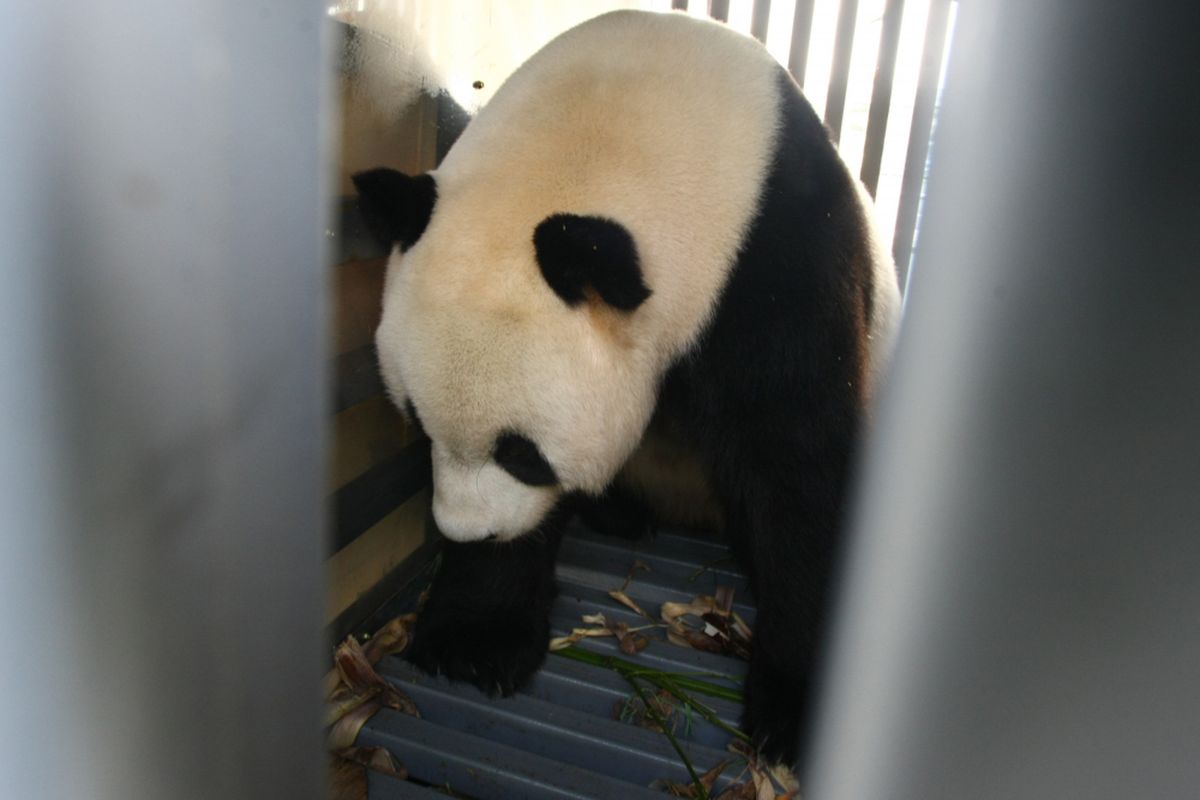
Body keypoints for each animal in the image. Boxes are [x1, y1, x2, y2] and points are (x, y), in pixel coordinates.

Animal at [350, 9, 897, 767]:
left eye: (523, 454)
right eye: (418, 423)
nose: (468, 530)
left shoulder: (776, 250)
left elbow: (798, 463)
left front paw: (795, 713)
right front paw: (473, 639)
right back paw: (622, 512)